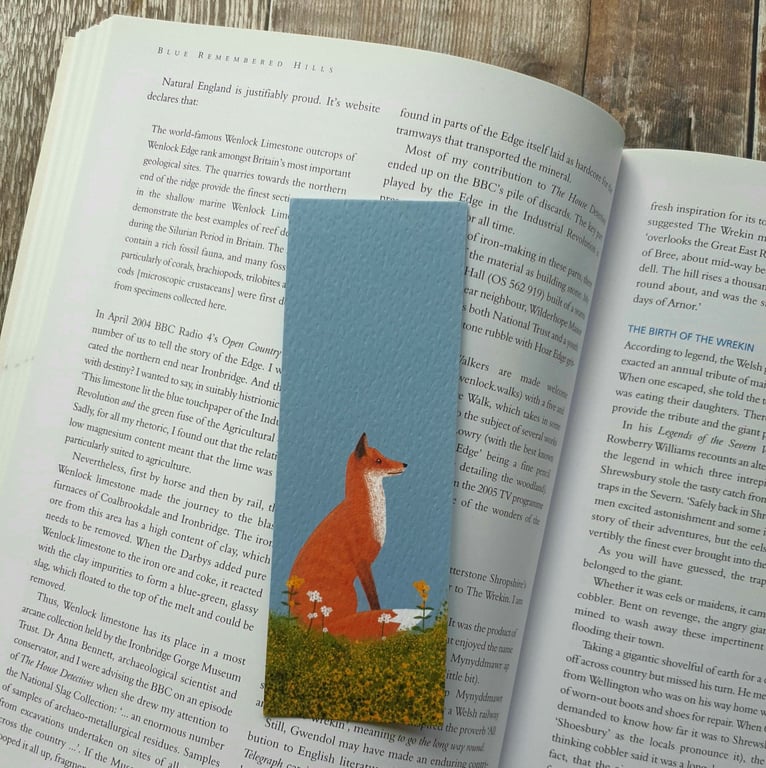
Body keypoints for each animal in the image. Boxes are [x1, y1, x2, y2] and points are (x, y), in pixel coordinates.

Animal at [288, 433, 421, 640]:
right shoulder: (362, 562)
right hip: (350, 594)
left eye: (383, 455)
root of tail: (306, 626)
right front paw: (380, 621)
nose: (404, 464)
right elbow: (374, 600)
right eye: (378, 460)